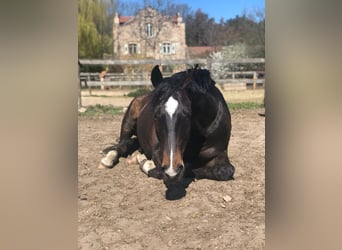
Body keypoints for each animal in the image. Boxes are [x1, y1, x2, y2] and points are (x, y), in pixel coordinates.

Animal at [97, 65, 234, 198]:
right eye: (155, 115)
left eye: (187, 114)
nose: (172, 171)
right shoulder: (159, 152)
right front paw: (146, 164)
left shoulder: (219, 153)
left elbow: (225, 171)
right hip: (128, 121)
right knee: (122, 144)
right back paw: (108, 158)